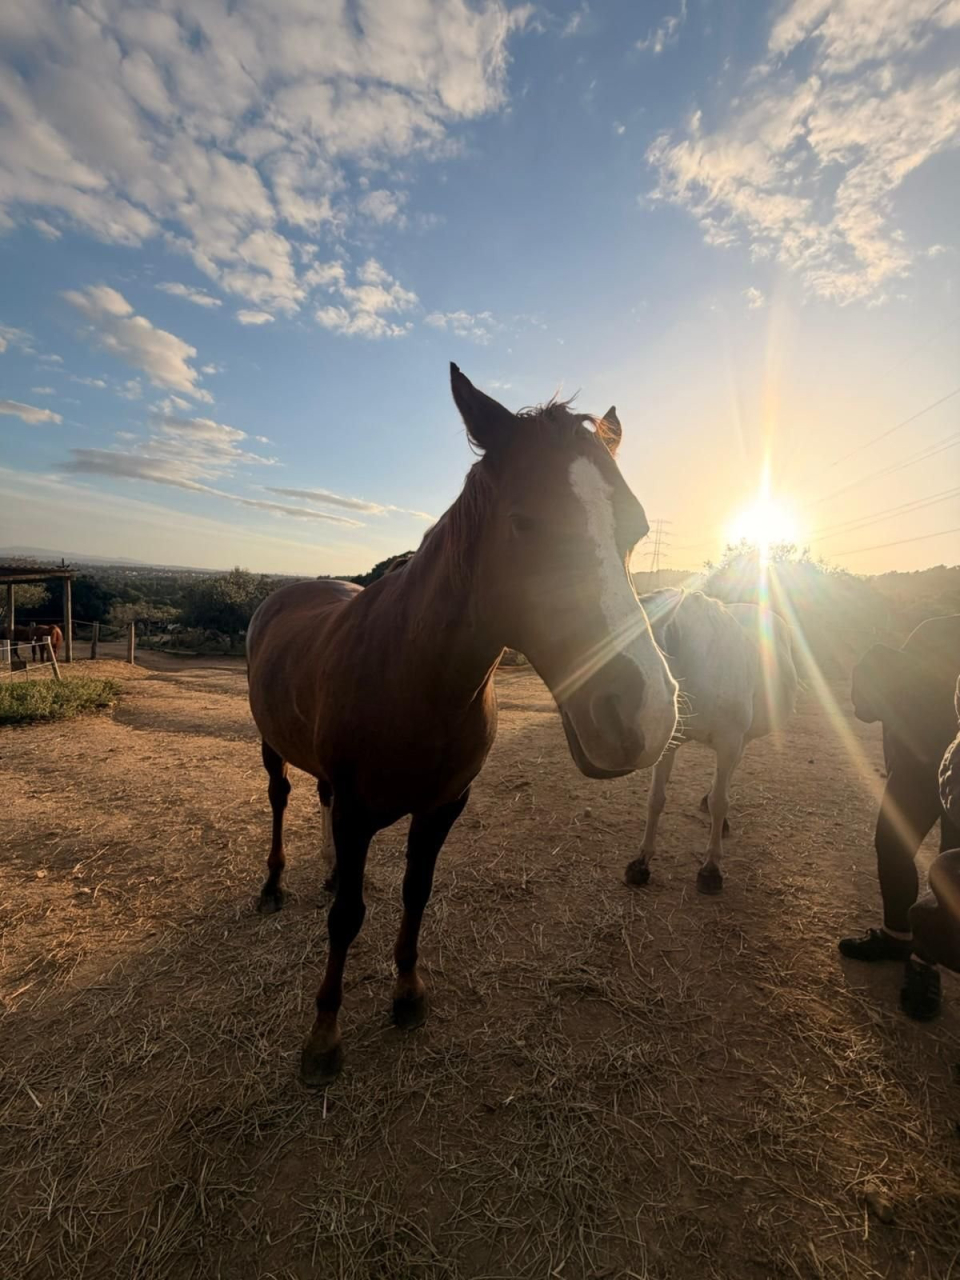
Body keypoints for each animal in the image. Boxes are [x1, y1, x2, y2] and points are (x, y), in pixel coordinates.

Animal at [247, 364, 680, 1085]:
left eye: (638, 529)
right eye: (525, 521)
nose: (643, 713)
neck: (416, 678)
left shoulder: (443, 806)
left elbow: (415, 894)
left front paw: (407, 993)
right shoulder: (360, 813)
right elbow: (347, 918)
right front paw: (324, 1036)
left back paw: (329, 870)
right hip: (269, 747)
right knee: (281, 799)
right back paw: (274, 884)